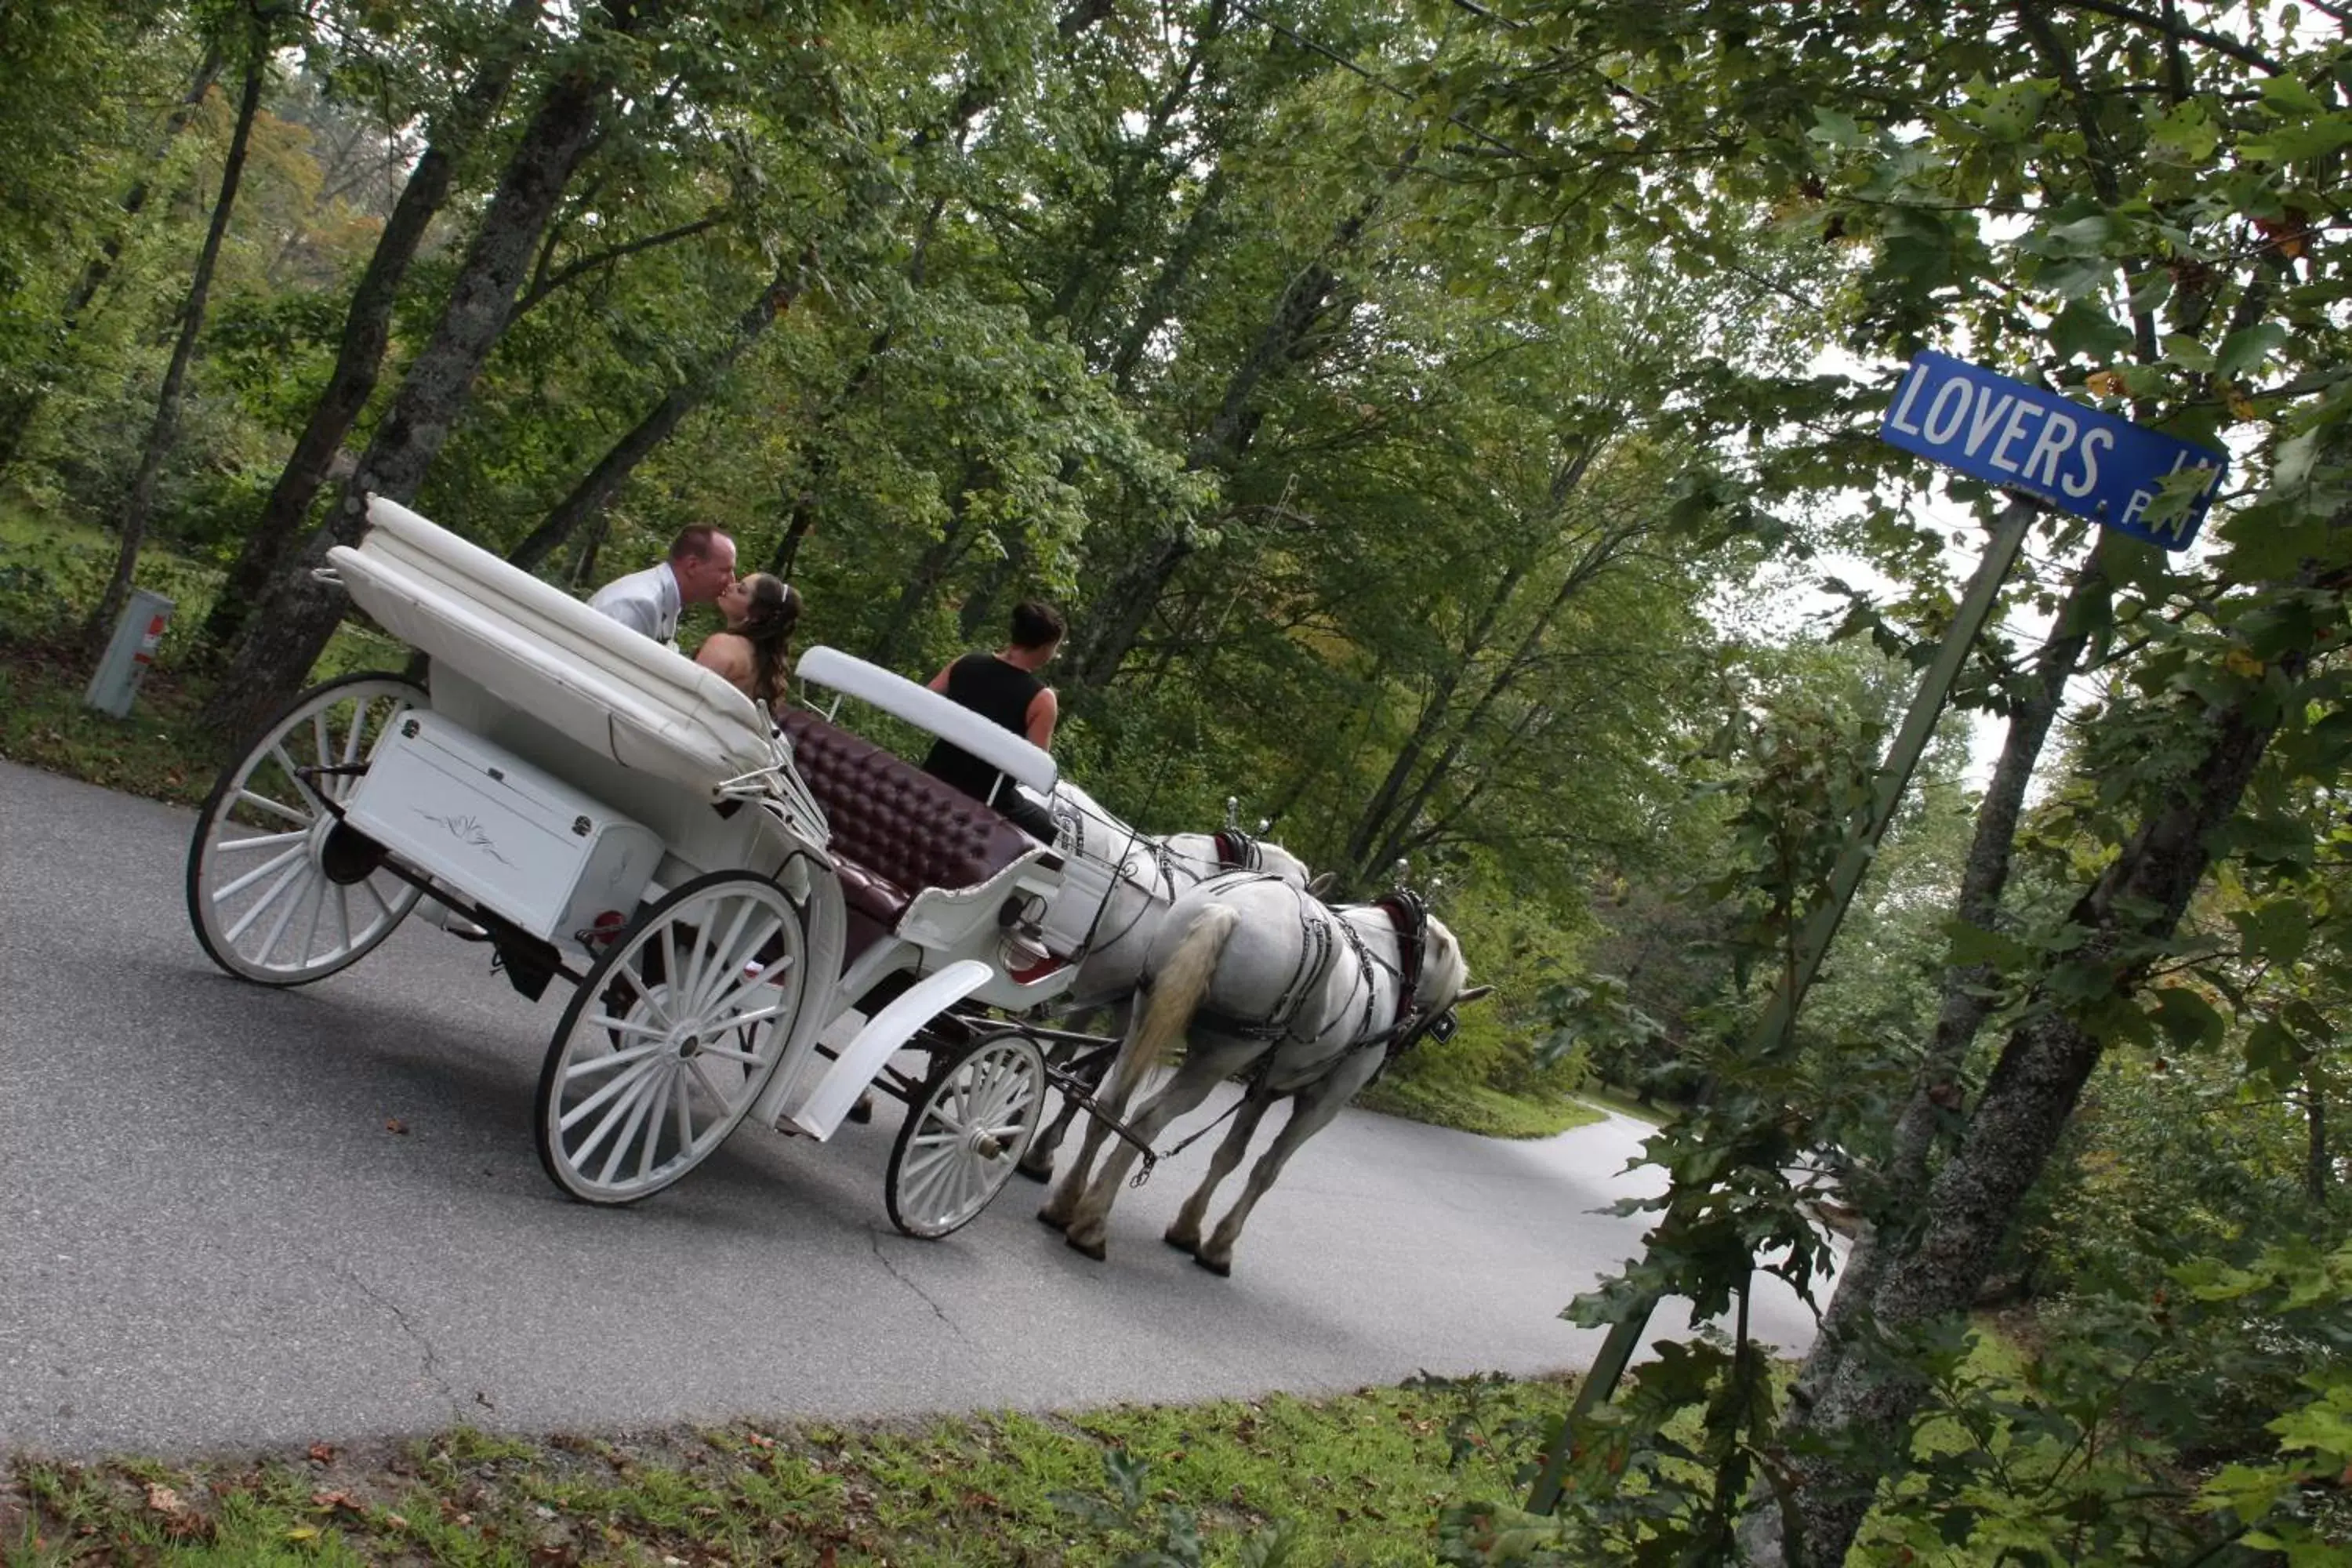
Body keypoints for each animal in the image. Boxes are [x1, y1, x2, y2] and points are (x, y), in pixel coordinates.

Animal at [1044, 869, 1486, 1279]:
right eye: (1432, 1017)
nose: (1396, 1051)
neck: (1389, 962)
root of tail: (1230, 910)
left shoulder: (1265, 1086)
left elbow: (1230, 1154)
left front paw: (1189, 1228)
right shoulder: (1323, 1103)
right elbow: (1267, 1170)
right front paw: (1220, 1246)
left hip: (1144, 1009)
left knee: (1110, 1101)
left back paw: (1065, 1203)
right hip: (1219, 1056)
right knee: (1148, 1116)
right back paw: (1092, 1225)